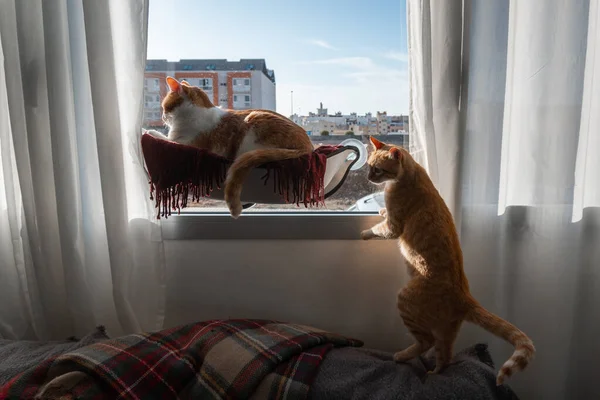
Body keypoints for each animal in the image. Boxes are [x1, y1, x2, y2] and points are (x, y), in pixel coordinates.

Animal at [147, 76, 312, 217]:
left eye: (164, 107)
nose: (162, 117)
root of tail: (308, 145)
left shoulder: (186, 145)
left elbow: (165, 139)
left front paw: (149, 131)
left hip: (252, 123)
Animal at [360, 137, 536, 384]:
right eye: (368, 166)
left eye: (377, 169)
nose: (368, 178)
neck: (411, 174)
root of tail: (465, 297)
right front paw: (381, 211)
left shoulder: (394, 227)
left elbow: (380, 229)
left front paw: (366, 232)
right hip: (448, 332)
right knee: (446, 355)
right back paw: (435, 373)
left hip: (406, 301)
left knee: (426, 341)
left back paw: (402, 356)